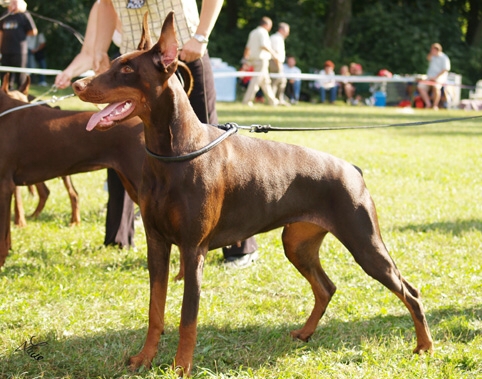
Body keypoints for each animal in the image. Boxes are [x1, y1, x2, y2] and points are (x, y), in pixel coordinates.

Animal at [1, 74, 80, 229]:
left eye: (25, 104)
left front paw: (19, 222)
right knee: (45, 191)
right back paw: (34, 215)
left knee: (73, 193)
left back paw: (74, 221)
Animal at [73, 11, 434, 378]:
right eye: (113, 63)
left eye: (127, 70)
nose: (77, 84)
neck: (173, 154)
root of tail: (352, 169)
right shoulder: (157, 244)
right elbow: (154, 310)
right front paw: (144, 358)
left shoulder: (193, 250)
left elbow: (188, 318)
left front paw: (181, 366)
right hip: (297, 243)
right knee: (326, 287)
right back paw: (305, 333)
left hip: (364, 242)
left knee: (410, 292)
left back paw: (424, 346)